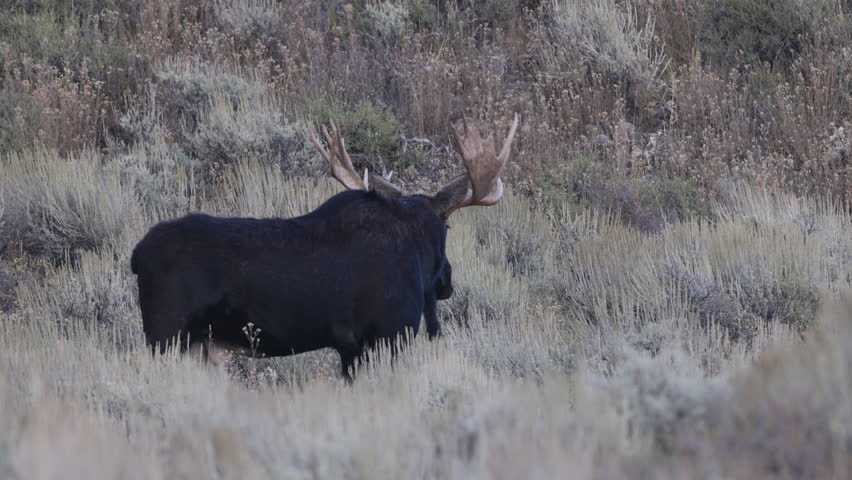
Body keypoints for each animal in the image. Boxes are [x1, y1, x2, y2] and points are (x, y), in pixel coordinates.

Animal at [130, 112, 519, 381]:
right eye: (447, 228)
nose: (447, 283)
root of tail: (136, 257)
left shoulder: (350, 347)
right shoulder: (390, 332)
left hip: (194, 343)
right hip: (165, 333)